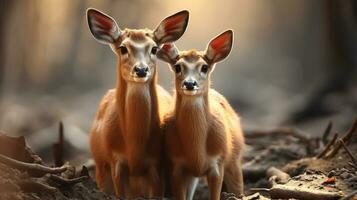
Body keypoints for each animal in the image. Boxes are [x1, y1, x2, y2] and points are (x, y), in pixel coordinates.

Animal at [86, 8, 189, 198]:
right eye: (123, 48)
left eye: (154, 48)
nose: (141, 70)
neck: (135, 148)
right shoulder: (116, 161)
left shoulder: (156, 165)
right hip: (100, 166)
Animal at [157, 30, 243, 200]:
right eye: (177, 66)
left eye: (204, 67)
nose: (190, 84)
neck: (196, 152)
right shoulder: (177, 166)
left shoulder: (217, 164)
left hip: (234, 160)